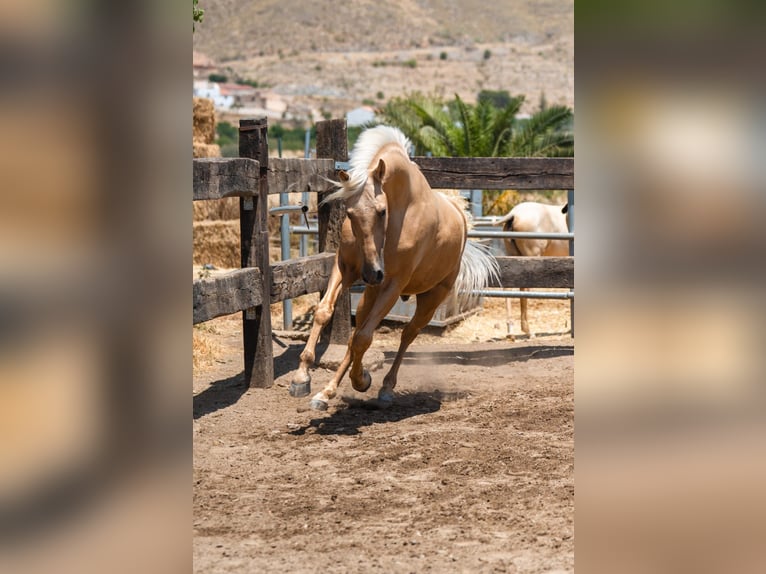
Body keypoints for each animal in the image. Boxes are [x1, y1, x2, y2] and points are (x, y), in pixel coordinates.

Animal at [289, 125, 498, 410]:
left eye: (381, 211)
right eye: (350, 213)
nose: (372, 273)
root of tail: (461, 216)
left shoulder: (393, 283)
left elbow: (364, 338)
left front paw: (362, 380)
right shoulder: (345, 268)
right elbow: (324, 313)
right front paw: (302, 376)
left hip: (430, 298)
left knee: (406, 334)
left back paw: (385, 387)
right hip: (370, 295)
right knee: (357, 335)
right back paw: (327, 392)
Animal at [493, 201, 570, 337]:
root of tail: (514, 214)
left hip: (514, 257)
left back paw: (511, 331)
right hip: (531, 258)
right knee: (524, 288)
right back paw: (528, 331)